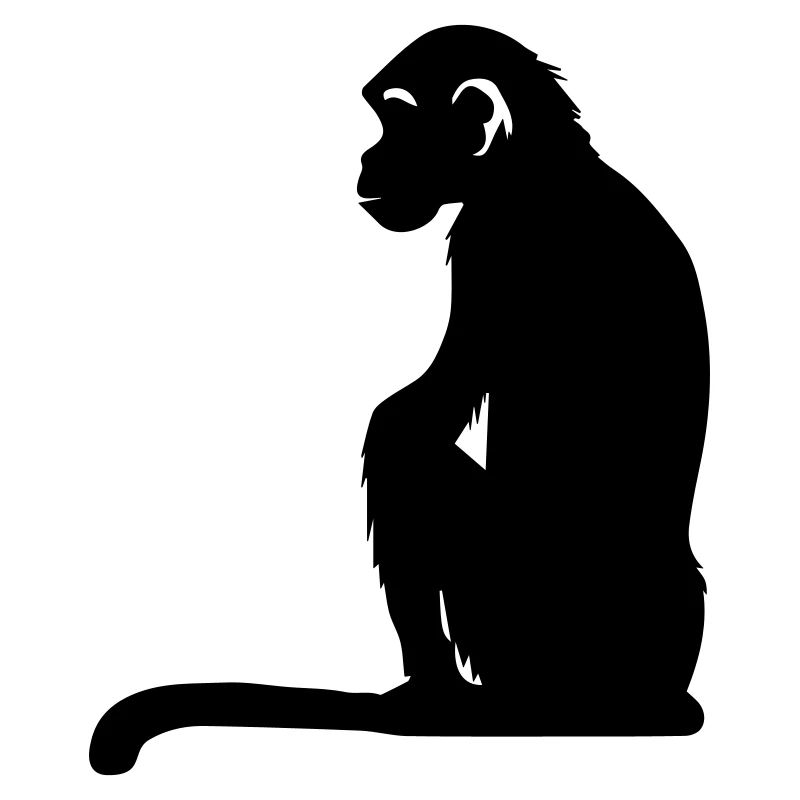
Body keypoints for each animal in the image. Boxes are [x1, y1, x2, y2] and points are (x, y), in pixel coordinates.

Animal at [90, 25, 709, 775]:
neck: (536, 162)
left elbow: (409, 425)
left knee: (414, 458)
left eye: (398, 120)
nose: (368, 155)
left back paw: (442, 696)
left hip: (526, 620)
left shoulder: (493, 237)